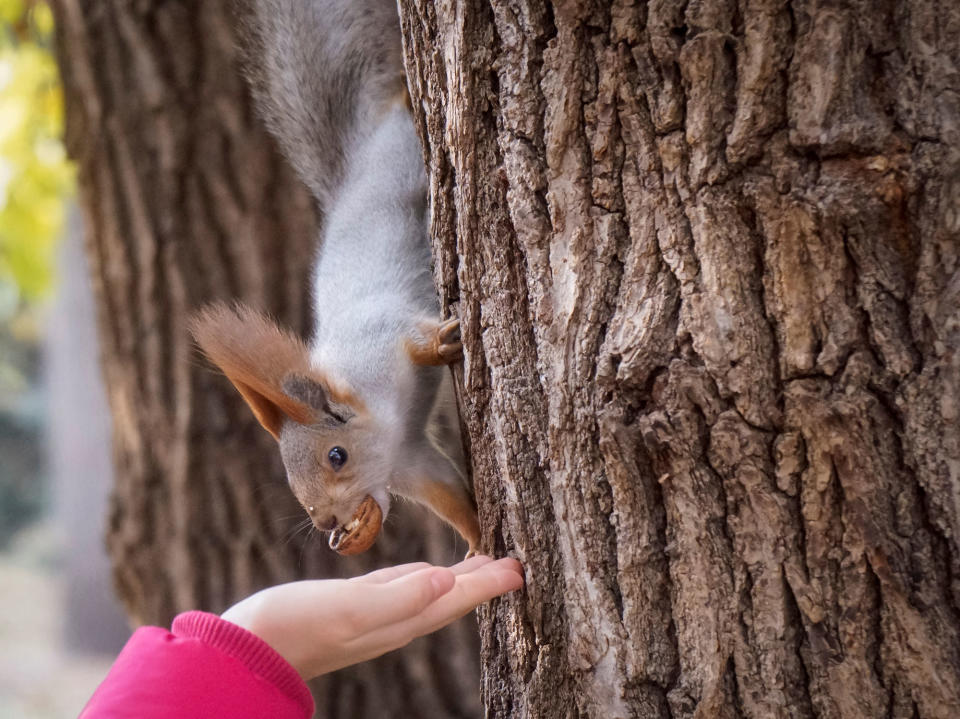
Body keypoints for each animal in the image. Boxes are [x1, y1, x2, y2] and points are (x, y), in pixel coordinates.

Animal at [189, 0, 480, 556]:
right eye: (291, 481)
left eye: (337, 456)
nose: (324, 521)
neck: (386, 419)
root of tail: (354, 169)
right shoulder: (411, 461)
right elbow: (451, 498)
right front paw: (481, 545)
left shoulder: (382, 340)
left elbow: (415, 340)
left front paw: (442, 344)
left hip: (399, 164)